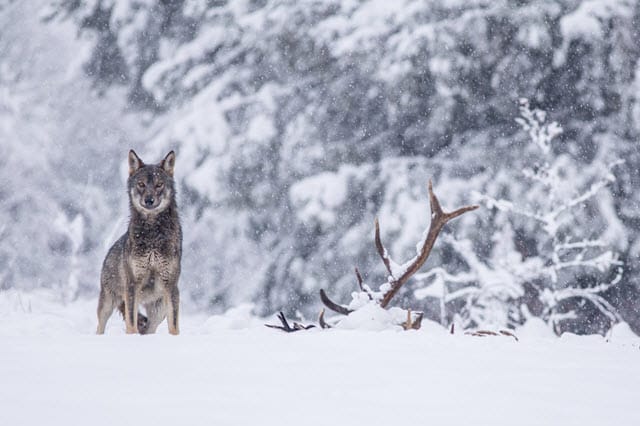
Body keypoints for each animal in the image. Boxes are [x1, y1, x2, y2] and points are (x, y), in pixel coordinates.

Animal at [97, 151, 182, 334]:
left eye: (159, 185)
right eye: (141, 184)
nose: (149, 200)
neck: (152, 235)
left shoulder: (171, 285)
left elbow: (174, 325)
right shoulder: (132, 285)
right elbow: (131, 323)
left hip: (158, 312)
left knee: (149, 328)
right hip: (107, 303)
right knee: (100, 326)